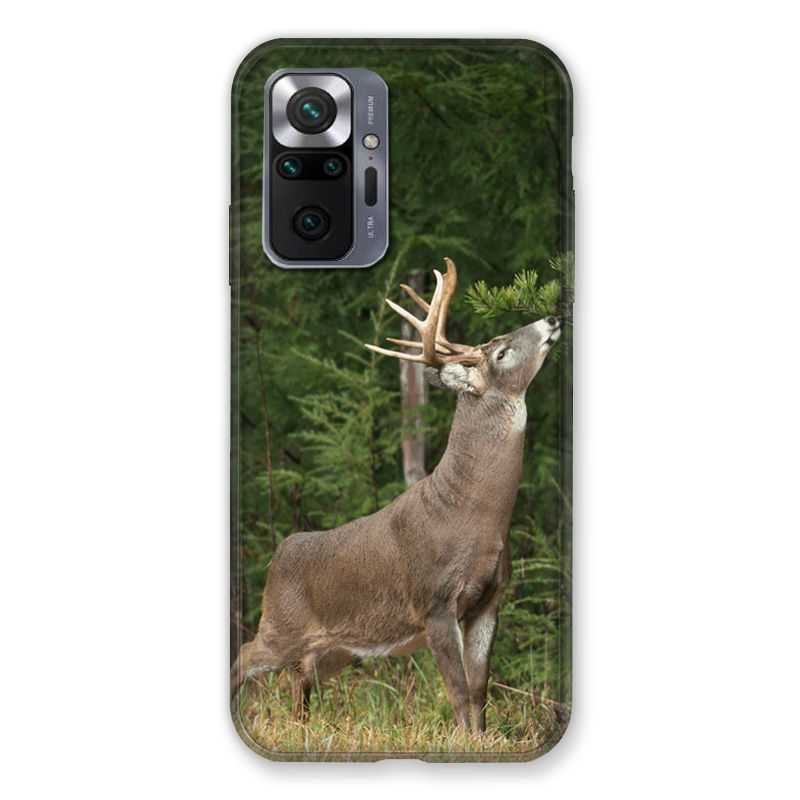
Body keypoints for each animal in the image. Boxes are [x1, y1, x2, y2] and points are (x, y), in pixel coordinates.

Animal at [232, 257, 561, 732]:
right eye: (501, 352)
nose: (552, 318)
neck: (474, 515)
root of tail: (278, 556)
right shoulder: (435, 602)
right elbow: (458, 691)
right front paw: (463, 741)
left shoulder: (490, 600)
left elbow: (480, 690)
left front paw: (482, 739)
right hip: (280, 624)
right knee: (244, 656)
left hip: (332, 650)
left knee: (299, 685)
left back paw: (303, 728)